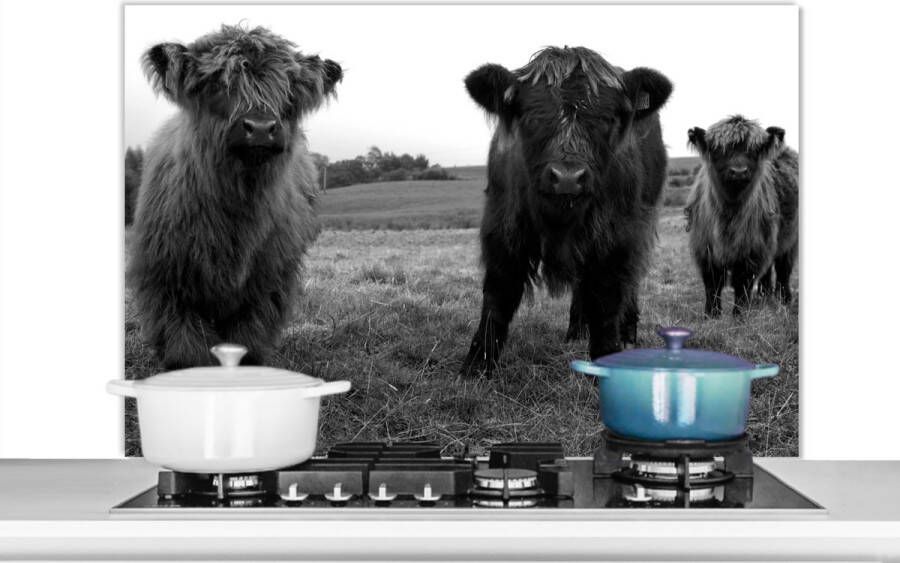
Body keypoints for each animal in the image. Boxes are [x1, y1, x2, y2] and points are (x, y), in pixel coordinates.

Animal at [128, 24, 342, 369]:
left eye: (288, 91)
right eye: (218, 84)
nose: (261, 128)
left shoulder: (265, 290)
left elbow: (248, 346)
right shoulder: (167, 287)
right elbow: (188, 354)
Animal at [460, 46, 673, 375]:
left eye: (607, 118)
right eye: (531, 117)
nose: (568, 177)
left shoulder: (616, 237)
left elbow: (606, 300)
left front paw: (607, 360)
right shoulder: (502, 227)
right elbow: (498, 295)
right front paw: (477, 365)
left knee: (630, 281)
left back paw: (627, 333)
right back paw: (576, 330)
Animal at [685, 115, 799, 317]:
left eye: (753, 150)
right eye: (719, 150)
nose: (738, 171)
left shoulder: (751, 251)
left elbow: (742, 284)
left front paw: (740, 314)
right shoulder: (705, 249)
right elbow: (712, 284)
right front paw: (711, 315)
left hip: (790, 239)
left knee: (783, 269)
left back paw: (784, 299)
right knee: (768, 271)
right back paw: (764, 297)